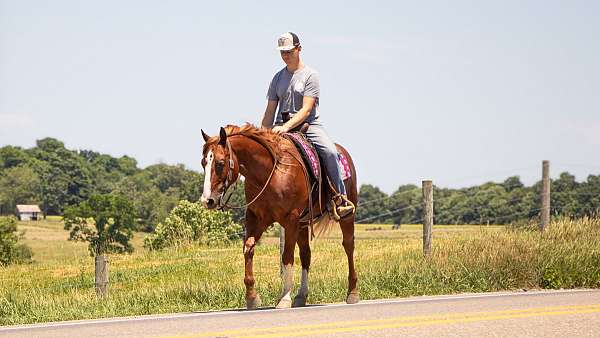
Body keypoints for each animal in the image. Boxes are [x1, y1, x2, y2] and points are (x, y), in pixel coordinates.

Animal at [199, 123, 358, 308]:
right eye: (203, 163)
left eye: (220, 163)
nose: (207, 200)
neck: (272, 172)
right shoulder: (256, 218)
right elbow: (248, 248)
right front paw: (252, 296)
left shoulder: (290, 220)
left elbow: (287, 257)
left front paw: (284, 298)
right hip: (303, 224)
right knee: (306, 254)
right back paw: (301, 296)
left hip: (345, 216)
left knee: (348, 245)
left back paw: (352, 292)